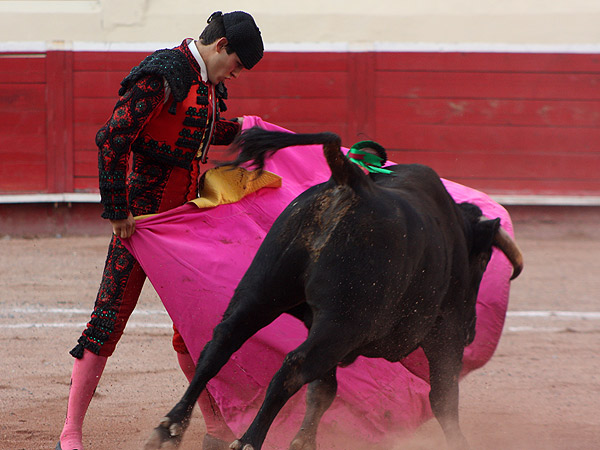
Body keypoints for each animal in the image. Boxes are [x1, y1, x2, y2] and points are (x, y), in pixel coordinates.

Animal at [144, 128, 523, 450]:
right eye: (484, 260)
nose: (472, 332)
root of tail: (350, 181)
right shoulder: (445, 334)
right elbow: (444, 397)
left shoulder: (314, 321)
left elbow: (323, 390)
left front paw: (303, 442)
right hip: (344, 322)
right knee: (293, 366)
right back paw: (248, 440)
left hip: (262, 290)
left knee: (220, 345)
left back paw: (169, 428)